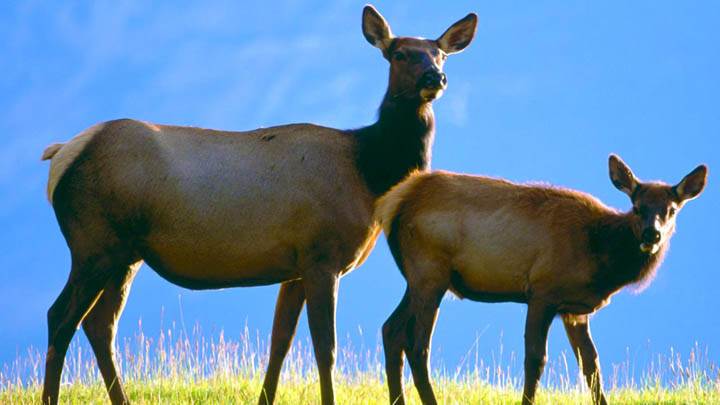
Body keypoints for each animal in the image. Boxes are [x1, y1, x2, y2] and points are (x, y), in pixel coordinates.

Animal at [38, 5, 477, 405]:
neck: (369, 175)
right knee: (60, 317)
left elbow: (279, 343)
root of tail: (61, 154)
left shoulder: (295, 266)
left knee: (99, 324)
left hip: (124, 254)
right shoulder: (322, 254)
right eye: (399, 53)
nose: (435, 77)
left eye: (440, 53)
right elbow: (325, 348)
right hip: (93, 242)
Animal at [375, 154, 707, 405]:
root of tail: (394, 204)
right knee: (418, 345)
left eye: (671, 210)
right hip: (431, 271)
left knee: (391, 329)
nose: (652, 235)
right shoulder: (542, 291)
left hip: (418, 278)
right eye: (637, 208)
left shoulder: (574, 310)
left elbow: (592, 366)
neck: (598, 258)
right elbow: (535, 359)